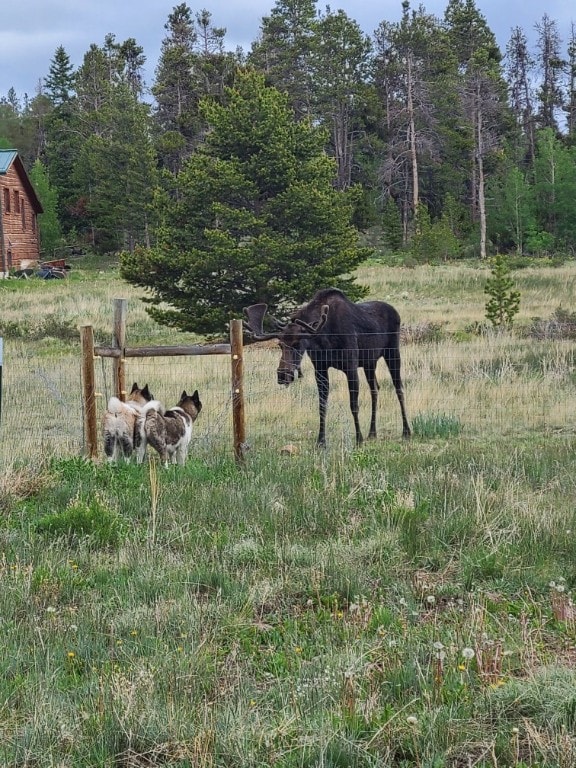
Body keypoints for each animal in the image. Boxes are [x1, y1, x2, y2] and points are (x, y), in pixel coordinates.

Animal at [243, 286, 410, 444]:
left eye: (297, 344)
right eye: (280, 345)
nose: (283, 375)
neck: (324, 338)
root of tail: (397, 313)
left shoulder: (351, 366)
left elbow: (353, 405)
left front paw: (358, 438)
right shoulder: (320, 368)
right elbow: (322, 406)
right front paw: (321, 441)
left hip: (392, 352)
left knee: (399, 389)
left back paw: (406, 431)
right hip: (370, 362)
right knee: (375, 389)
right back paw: (372, 433)